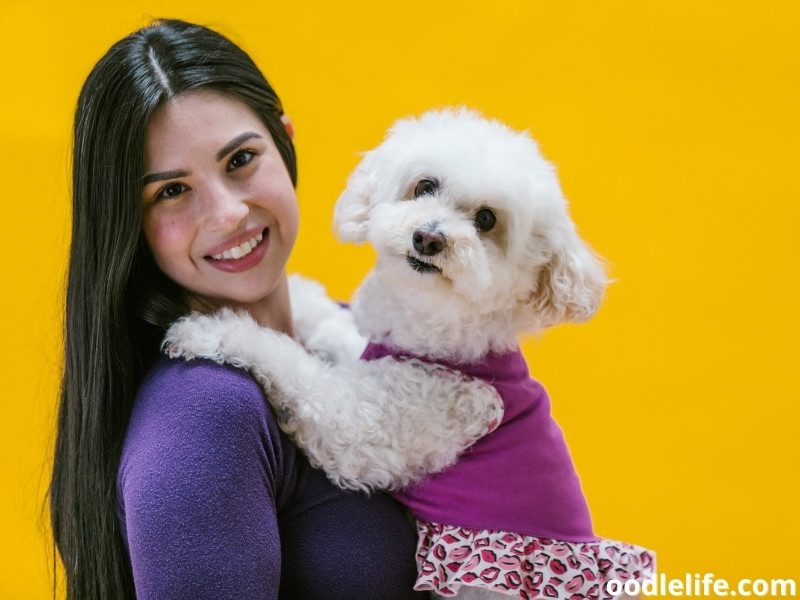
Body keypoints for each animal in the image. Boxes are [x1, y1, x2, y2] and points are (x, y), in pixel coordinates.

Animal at [166, 109, 652, 600]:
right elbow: (337, 329)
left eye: (487, 219)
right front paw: (303, 299)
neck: (429, 328)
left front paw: (210, 329)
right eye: (424, 186)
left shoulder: (380, 421)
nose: (429, 238)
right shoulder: (377, 346)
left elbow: (294, 366)